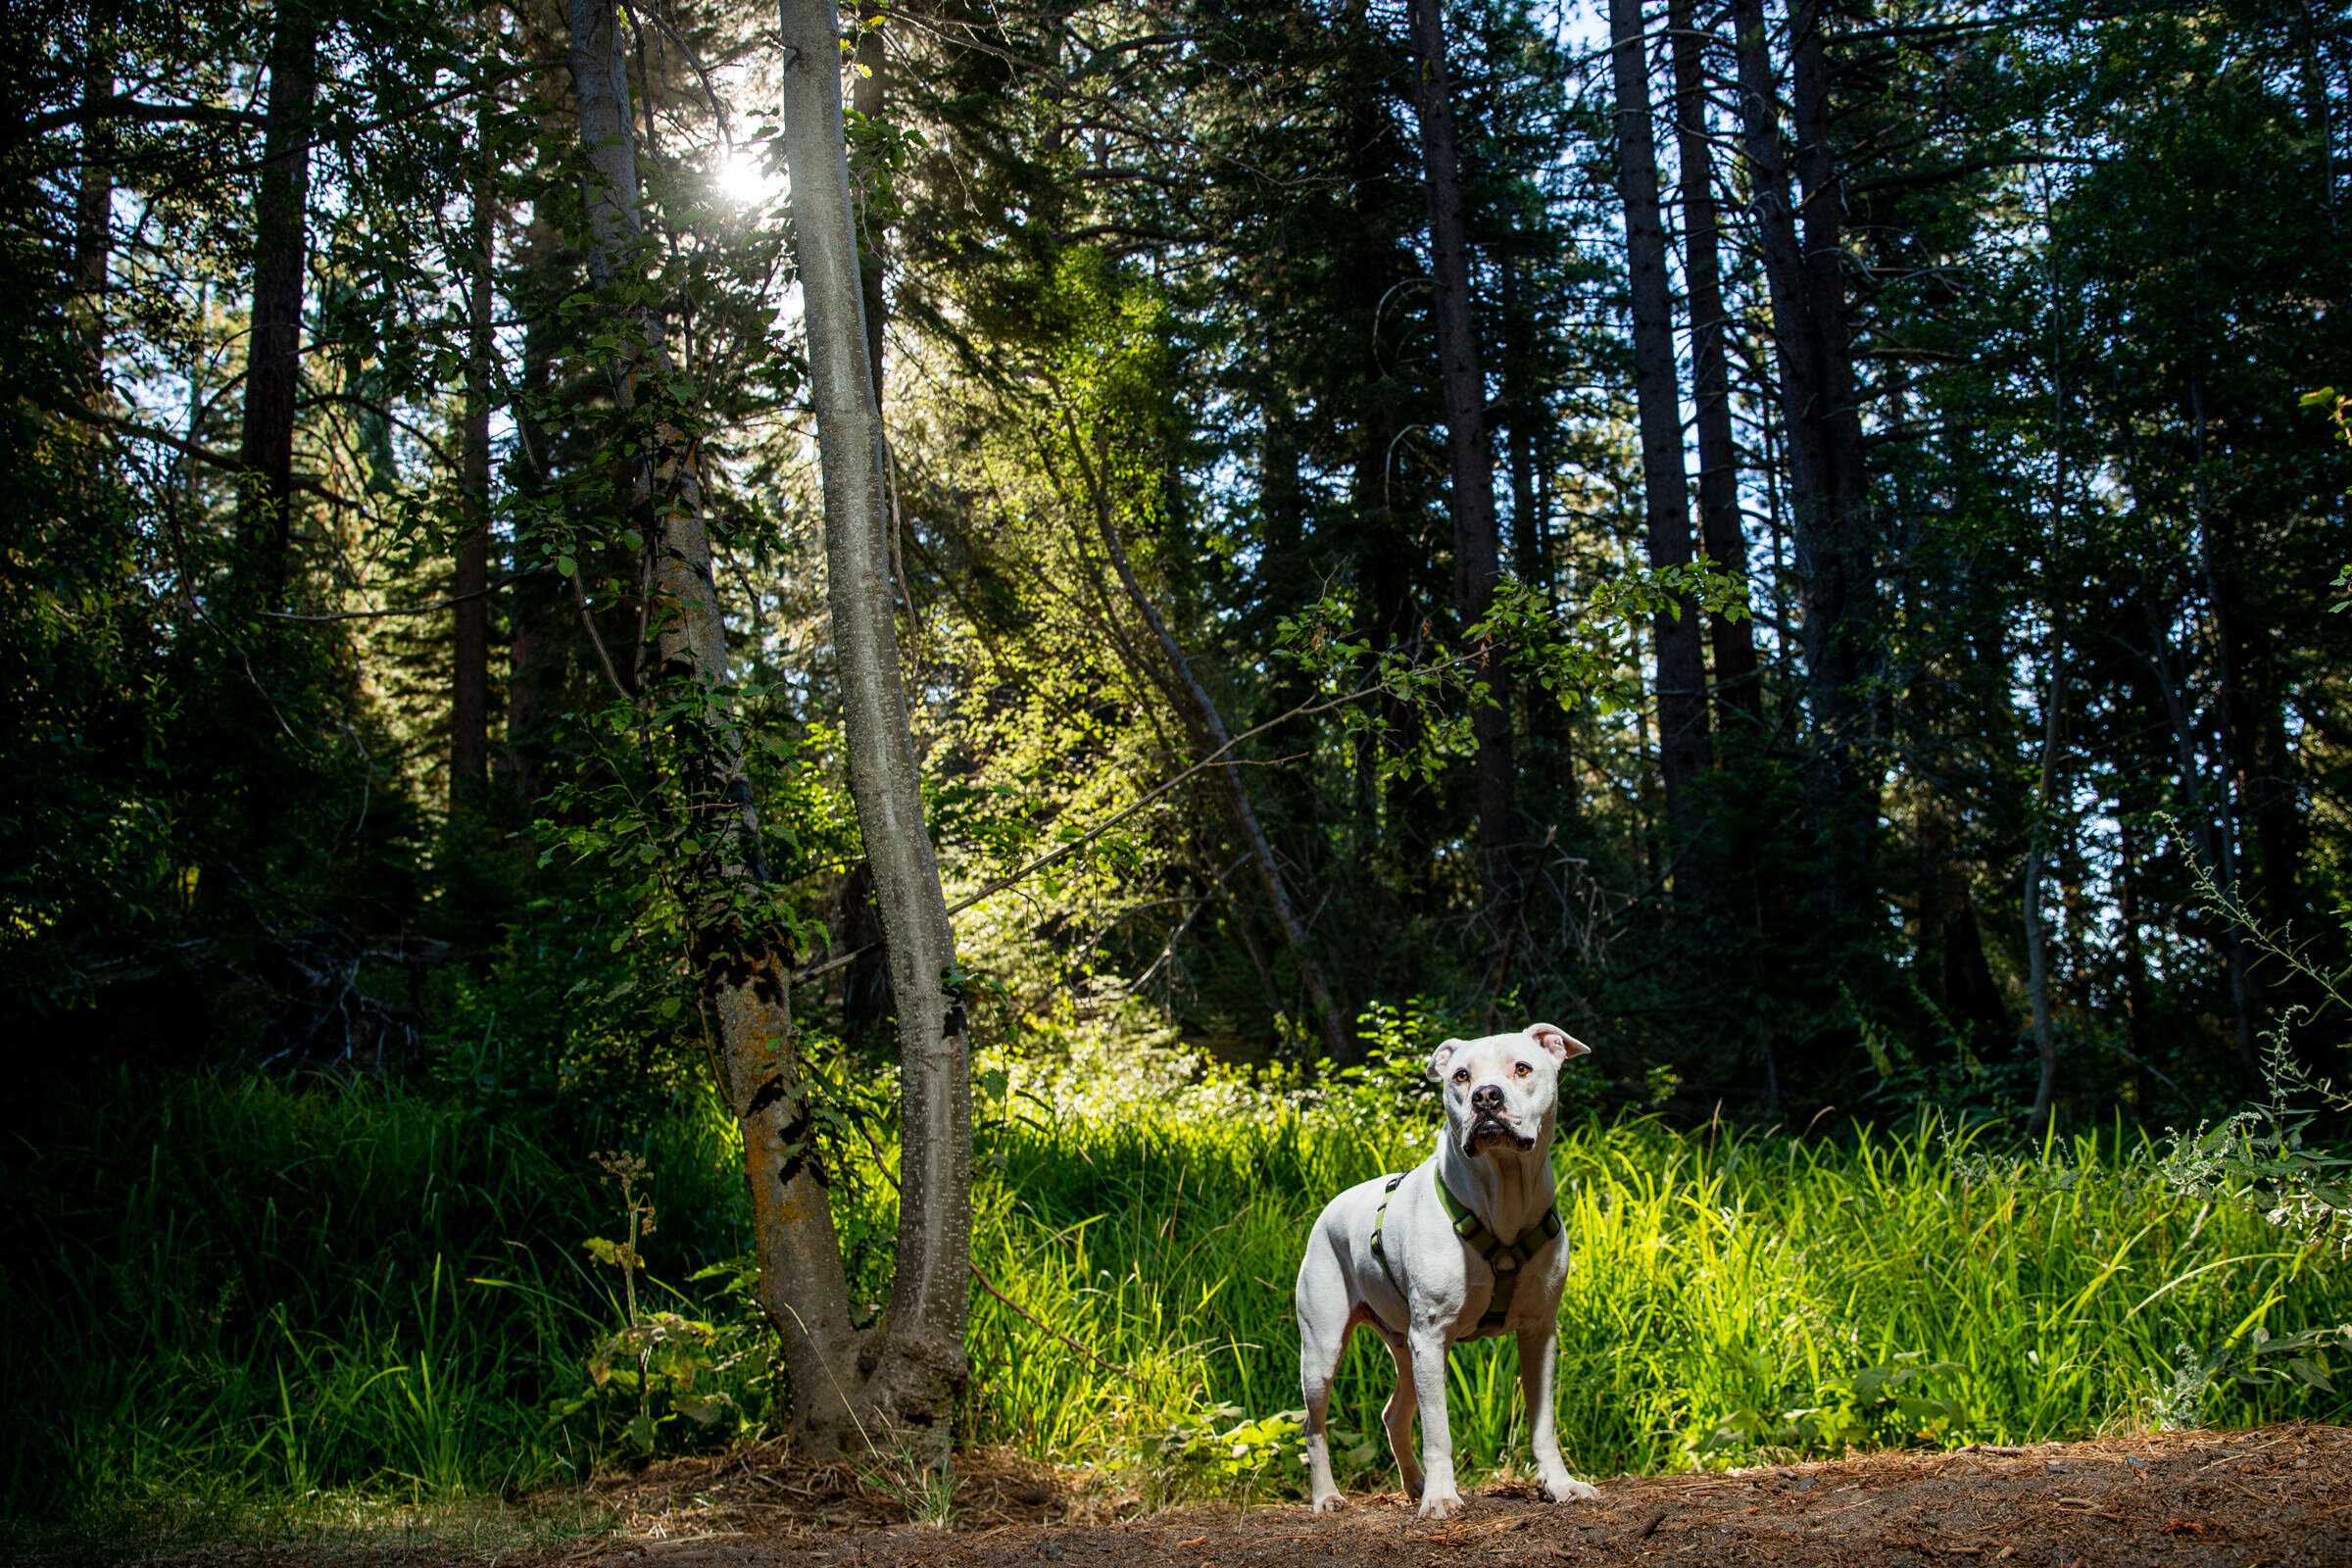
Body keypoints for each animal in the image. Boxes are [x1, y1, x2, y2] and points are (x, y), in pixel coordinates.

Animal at [1289, 1024, 1599, 1513]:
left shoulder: (1539, 1333)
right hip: (1323, 1353)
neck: (1501, 1199)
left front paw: (1561, 1484)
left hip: (1405, 1348)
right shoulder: (1432, 1339)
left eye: (1522, 1068)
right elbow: (1438, 1430)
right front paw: (1440, 1497)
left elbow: (1543, 1423)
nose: (1487, 1096)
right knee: (1313, 1426)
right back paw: (1328, 1496)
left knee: (1393, 1414)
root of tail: (1329, 1209)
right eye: (1460, 1076)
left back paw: (1414, 1482)